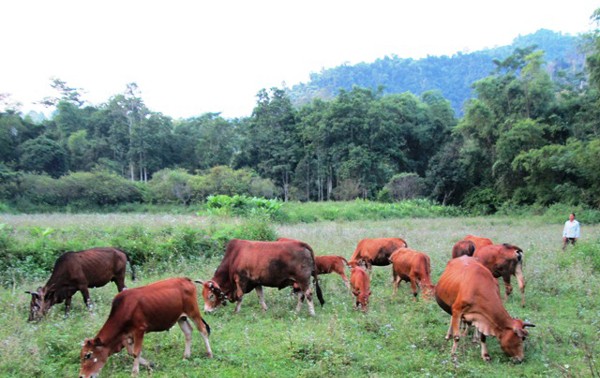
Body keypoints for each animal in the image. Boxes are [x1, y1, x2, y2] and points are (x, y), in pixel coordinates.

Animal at [78, 276, 212, 376]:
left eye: (88, 355)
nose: (82, 376)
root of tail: (185, 279)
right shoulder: (127, 335)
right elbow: (131, 352)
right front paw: (150, 364)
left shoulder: (139, 330)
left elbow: (136, 352)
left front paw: (134, 373)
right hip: (181, 317)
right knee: (188, 332)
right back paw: (186, 356)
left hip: (193, 311)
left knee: (203, 329)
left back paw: (209, 354)